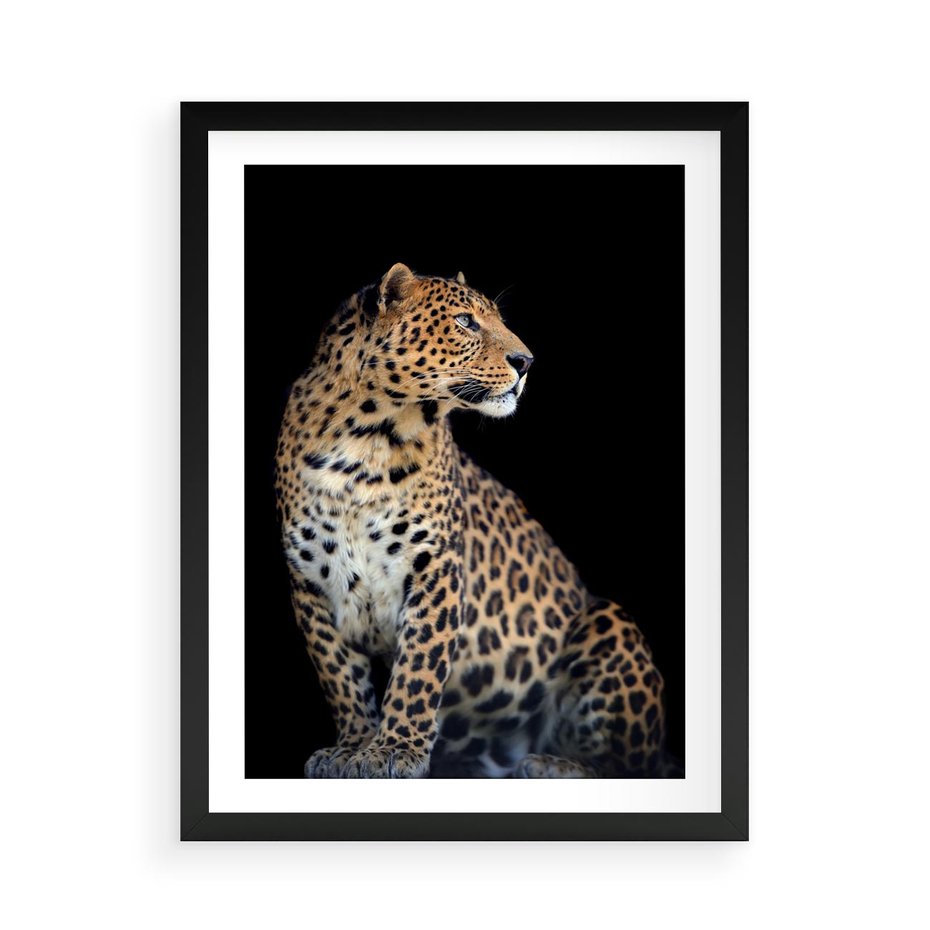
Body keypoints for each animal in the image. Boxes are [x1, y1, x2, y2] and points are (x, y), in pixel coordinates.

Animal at [274, 263, 668, 778]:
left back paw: (553, 764)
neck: (365, 440)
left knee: (634, 763)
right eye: (465, 322)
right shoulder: (310, 583)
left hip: (607, 620)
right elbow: (339, 674)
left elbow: (417, 669)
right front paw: (352, 746)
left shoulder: (435, 566)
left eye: (497, 320)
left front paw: (393, 751)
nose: (527, 361)